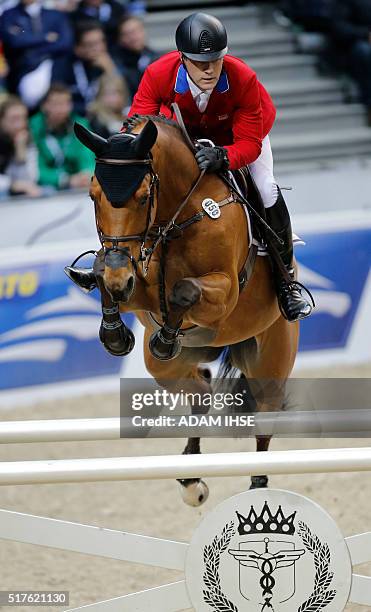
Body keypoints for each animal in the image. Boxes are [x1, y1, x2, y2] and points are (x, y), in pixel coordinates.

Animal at [73, 116, 300, 506]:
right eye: (93, 196)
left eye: (143, 197)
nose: (120, 279)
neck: (174, 217)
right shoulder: (137, 282)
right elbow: (105, 274)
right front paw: (115, 335)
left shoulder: (224, 293)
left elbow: (184, 290)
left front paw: (165, 337)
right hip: (169, 369)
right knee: (201, 390)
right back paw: (191, 477)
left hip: (269, 360)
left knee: (264, 416)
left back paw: (257, 485)